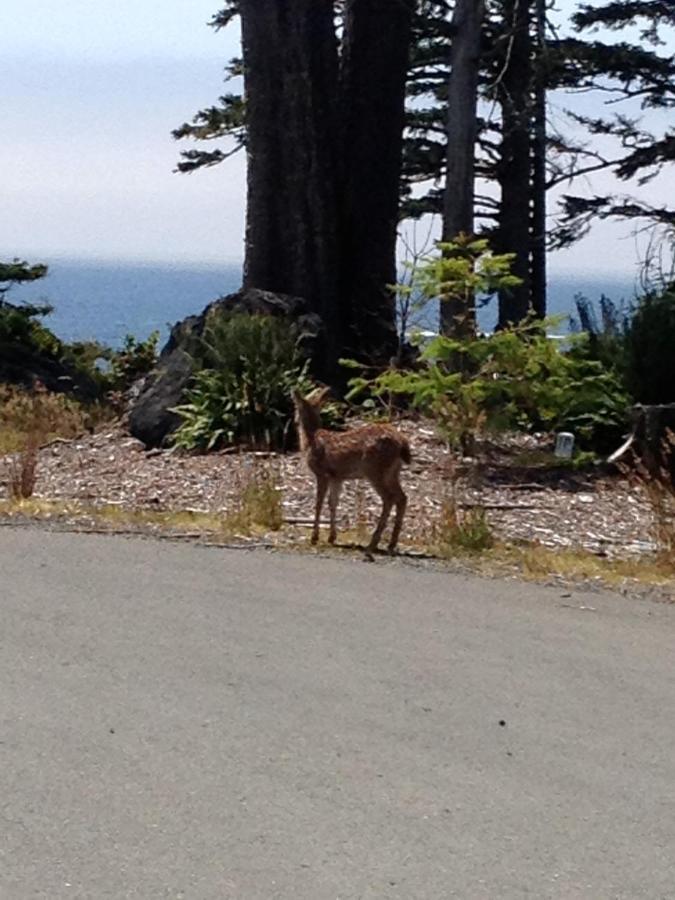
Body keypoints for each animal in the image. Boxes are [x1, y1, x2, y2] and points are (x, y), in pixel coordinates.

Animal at [292, 384, 412, 556]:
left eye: (295, 407)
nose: (294, 420)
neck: (310, 440)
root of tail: (402, 442)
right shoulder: (337, 477)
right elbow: (332, 503)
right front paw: (331, 537)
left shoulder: (322, 472)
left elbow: (319, 503)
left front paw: (314, 537)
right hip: (392, 471)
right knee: (402, 497)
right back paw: (391, 544)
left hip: (374, 469)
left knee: (389, 498)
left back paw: (373, 543)